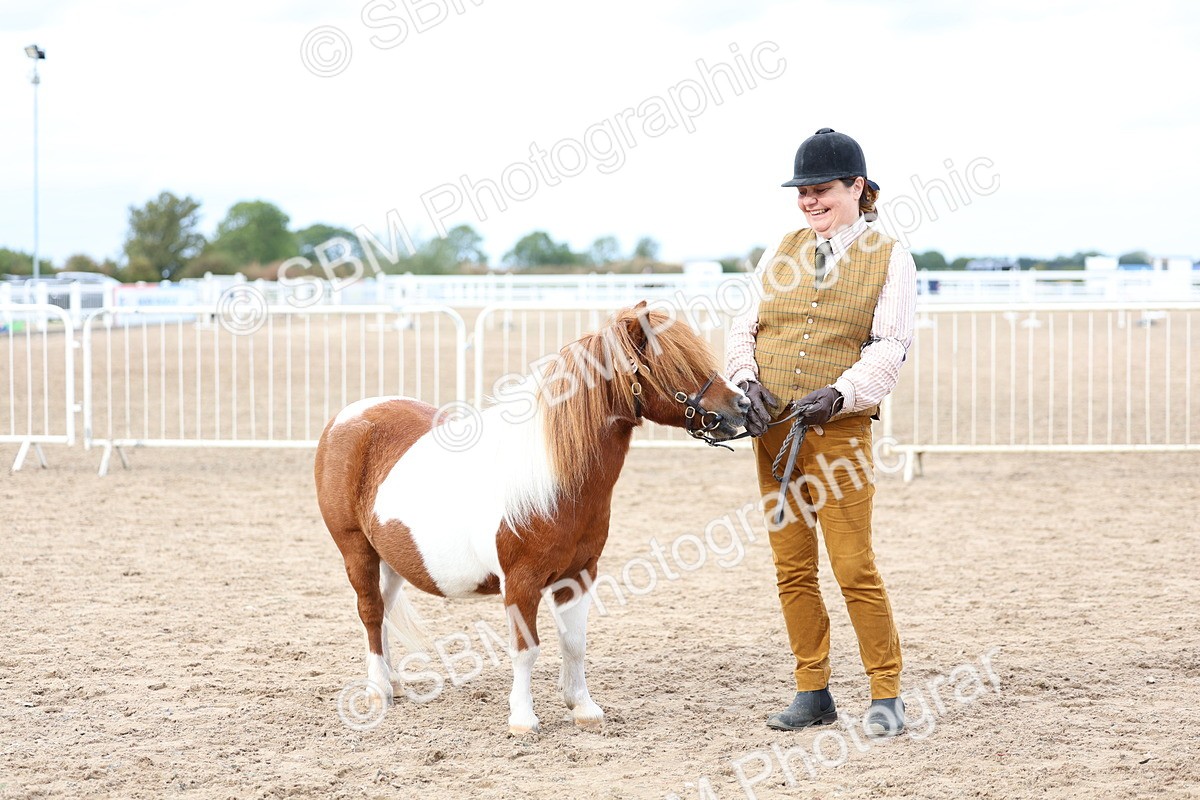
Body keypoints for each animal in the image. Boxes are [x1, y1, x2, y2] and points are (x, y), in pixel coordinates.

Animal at [314, 302, 750, 734]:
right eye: (676, 364)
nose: (742, 405)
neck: (556, 482)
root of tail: (345, 418)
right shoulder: (521, 583)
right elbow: (526, 649)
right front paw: (523, 718)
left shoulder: (580, 575)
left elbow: (574, 643)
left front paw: (583, 707)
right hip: (356, 550)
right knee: (370, 612)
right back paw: (378, 691)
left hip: (389, 557)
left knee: (384, 611)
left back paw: (395, 683)